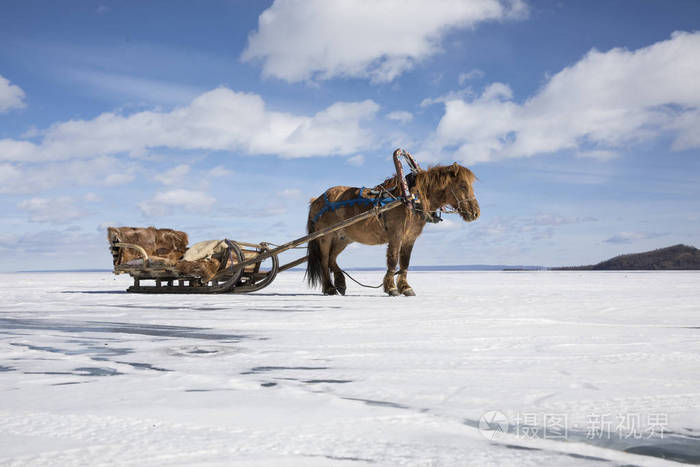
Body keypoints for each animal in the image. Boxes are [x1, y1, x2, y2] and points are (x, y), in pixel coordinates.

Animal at [305, 162, 480, 296]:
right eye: (463, 186)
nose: (476, 213)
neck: (411, 199)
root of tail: (316, 200)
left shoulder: (410, 238)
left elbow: (405, 262)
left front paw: (405, 287)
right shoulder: (396, 235)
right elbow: (393, 260)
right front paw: (391, 287)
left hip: (343, 238)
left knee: (332, 259)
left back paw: (340, 283)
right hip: (325, 237)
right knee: (324, 260)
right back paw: (329, 288)